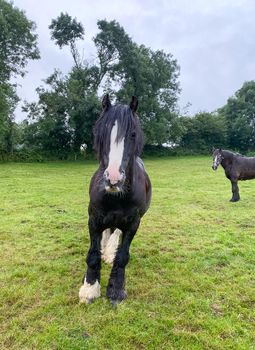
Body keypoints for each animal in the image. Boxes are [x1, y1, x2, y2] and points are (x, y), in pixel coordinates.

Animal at [79, 95, 151, 304]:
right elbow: (93, 254)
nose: (113, 179)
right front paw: (90, 287)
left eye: (133, 134)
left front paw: (116, 288)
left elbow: (123, 256)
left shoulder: (133, 223)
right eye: (101, 132)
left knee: (115, 233)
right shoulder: (94, 219)